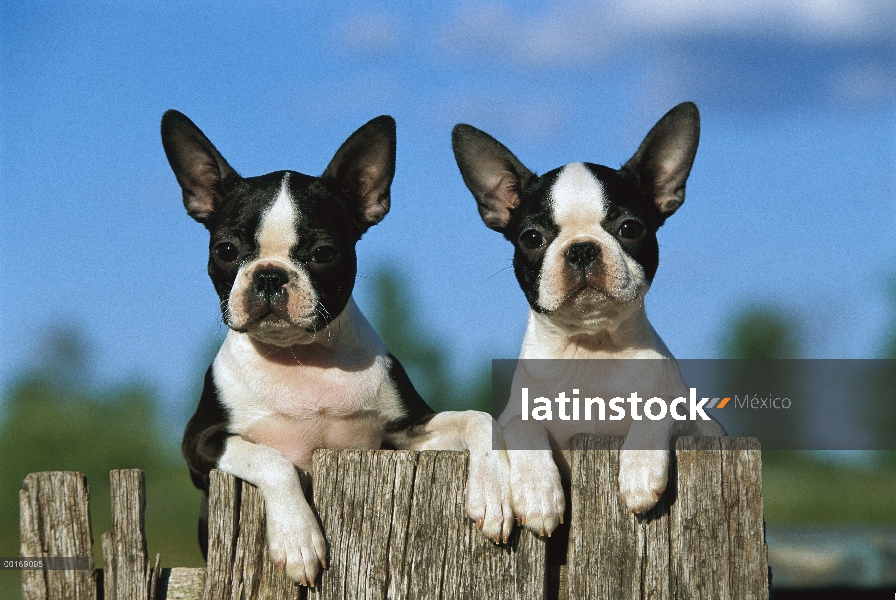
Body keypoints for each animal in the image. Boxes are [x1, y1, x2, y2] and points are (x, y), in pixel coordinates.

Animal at [162, 110, 512, 584]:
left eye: (324, 253)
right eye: (226, 250)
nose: (269, 275)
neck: (301, 358)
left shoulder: (402, 435)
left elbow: (478, 418)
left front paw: (492, 495)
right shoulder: (200, 444)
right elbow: (272, 460)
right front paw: (298, 540)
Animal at [456, 103, 728, 540]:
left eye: (630, 228)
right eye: (531, 238)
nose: (582, 249)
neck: (591, 348)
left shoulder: (708, 429)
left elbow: (663, 408)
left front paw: (639, 472)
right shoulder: (516, 417)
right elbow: (521, 426)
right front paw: (538, 493)